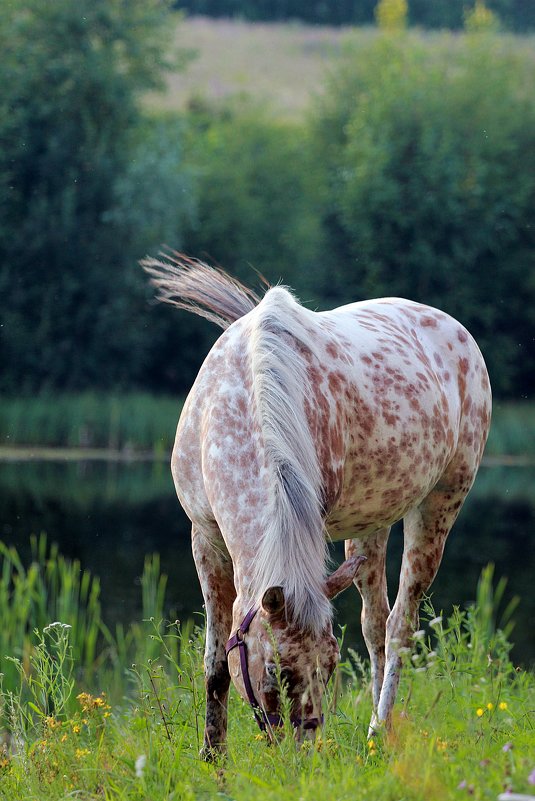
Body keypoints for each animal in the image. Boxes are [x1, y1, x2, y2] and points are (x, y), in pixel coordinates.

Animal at [141, 252, 490, 756]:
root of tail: (456, 330)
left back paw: (377, 730)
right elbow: (215, 661)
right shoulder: (204, 537)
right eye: (273, 671)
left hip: (440, 507)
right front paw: (212, 755)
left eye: (329, 667)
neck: (236, 406)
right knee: (374, 624)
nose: (301, 754)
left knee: (399, 627)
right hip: (371, 527)